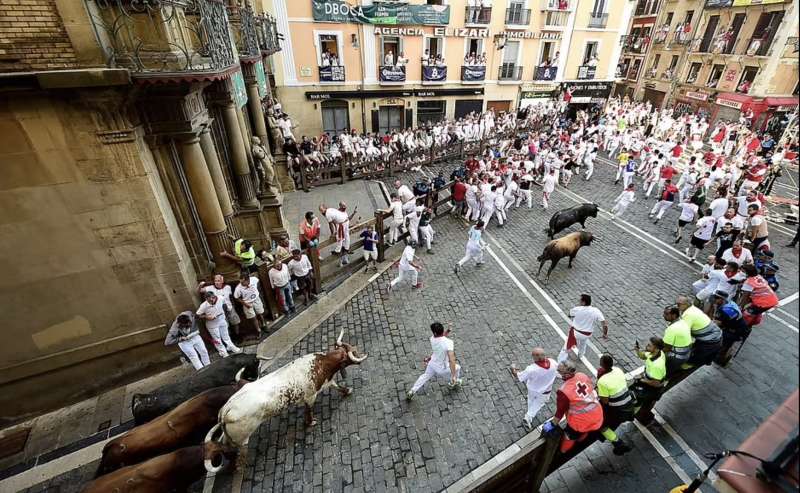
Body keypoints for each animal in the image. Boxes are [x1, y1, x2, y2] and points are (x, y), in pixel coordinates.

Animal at [203, 328, 366, 470]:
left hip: (230, 436)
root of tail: (226, 409)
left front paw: (347, 390)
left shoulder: (327, 382)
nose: (359, 354)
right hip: (241, 438)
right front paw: (310, 422)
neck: (322, 364)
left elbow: (337, 386)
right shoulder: (310, 396)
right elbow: (309, 411)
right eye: (352, 352)